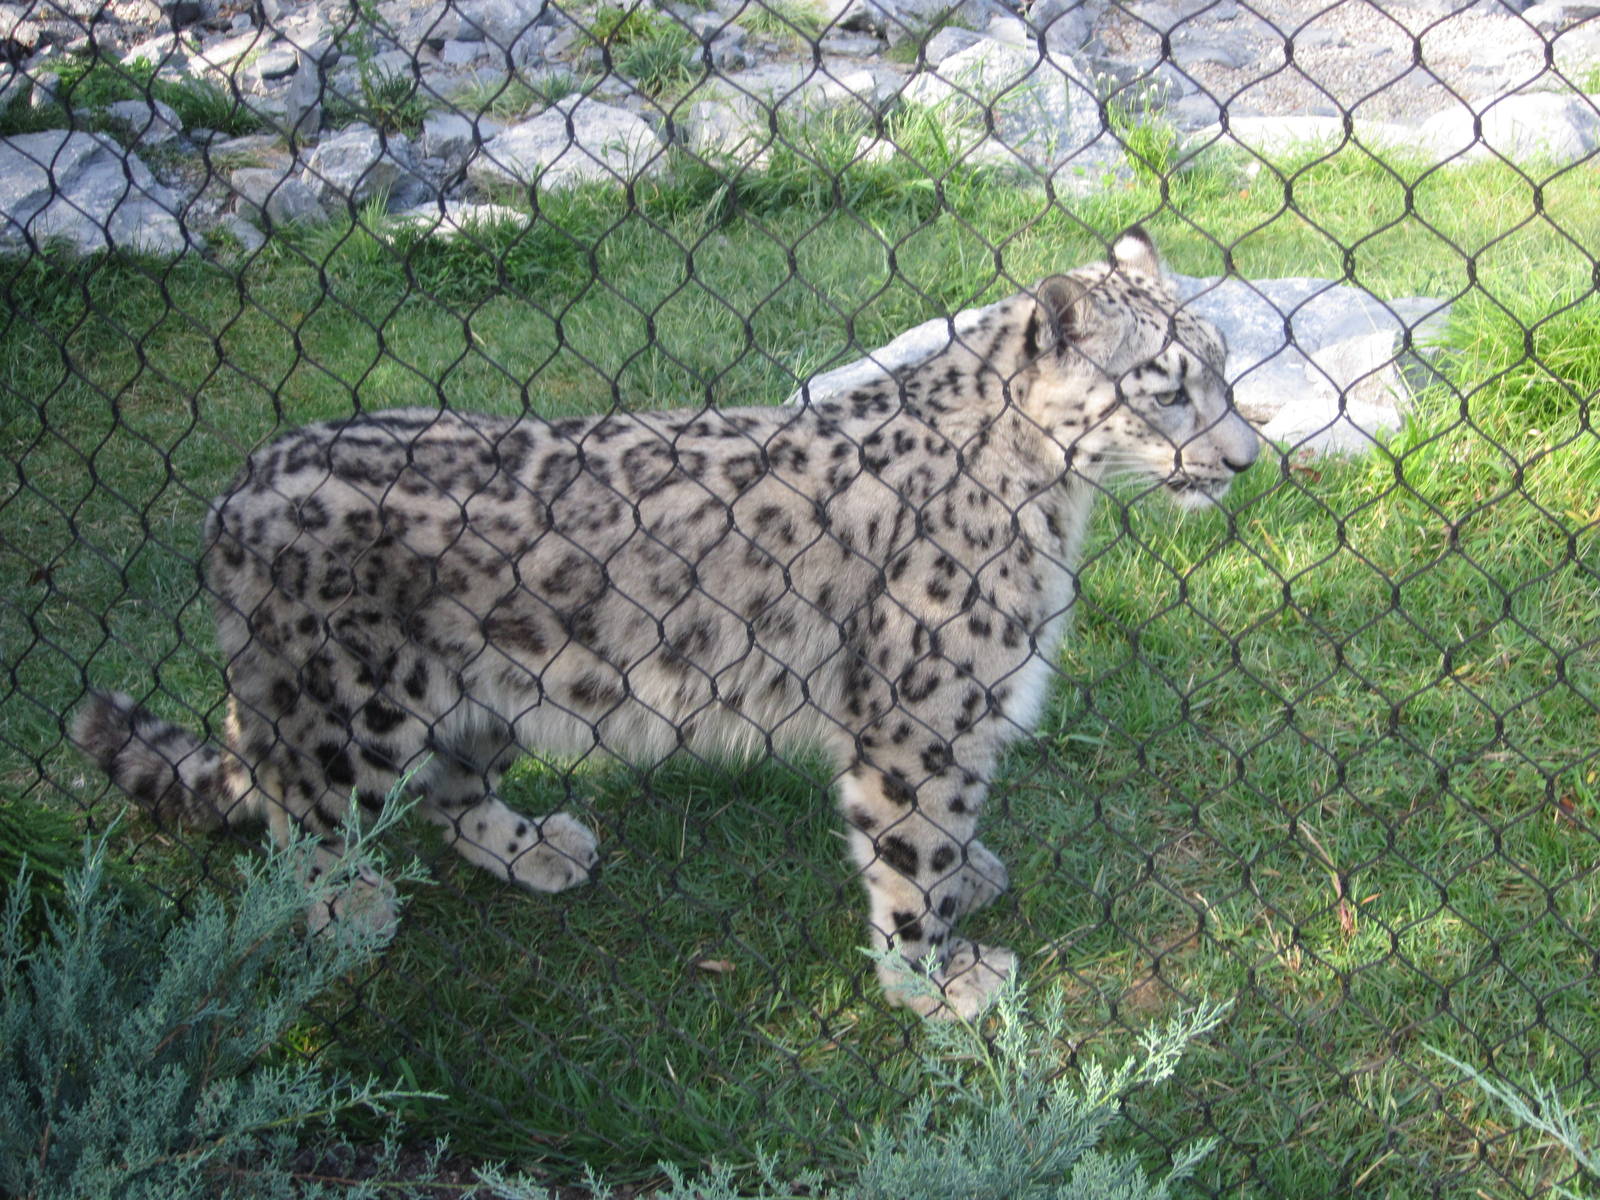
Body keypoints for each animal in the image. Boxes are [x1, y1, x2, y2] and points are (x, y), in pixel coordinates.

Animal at [73, 228, 1259, 1018]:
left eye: (1221, 364)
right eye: (1164, 389)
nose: (1245, 459)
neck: (1056, 508)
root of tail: (234, 493)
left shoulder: (962, 724)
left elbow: (953, 828)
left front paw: (970, 883)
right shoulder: (920, 721)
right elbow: (911, 851)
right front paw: (938, 980)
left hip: (488, 690)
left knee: (450, 790)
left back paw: (539, 847)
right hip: (345, 716)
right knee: (302, 832)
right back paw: (347, 925)